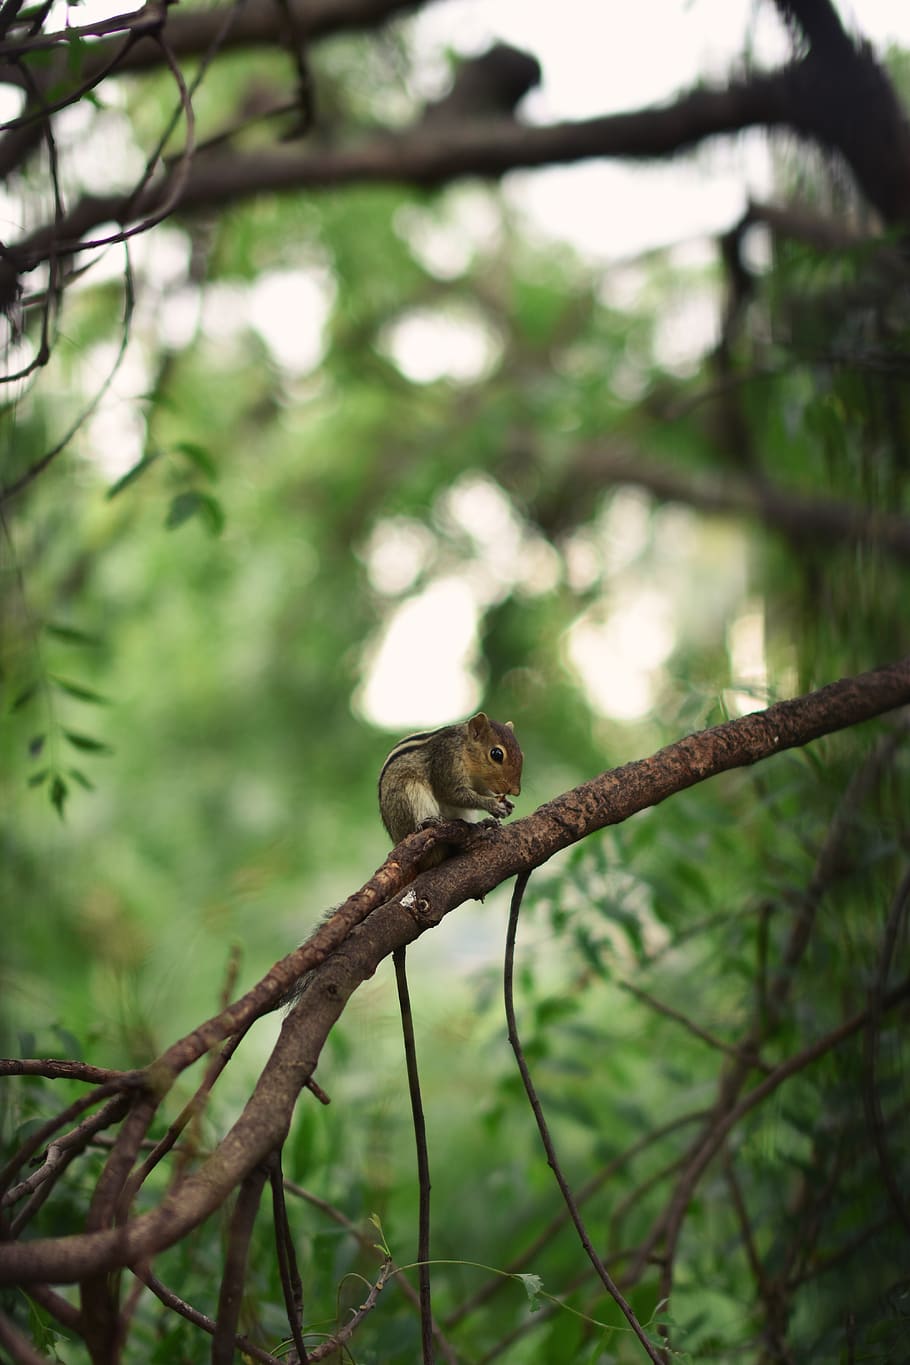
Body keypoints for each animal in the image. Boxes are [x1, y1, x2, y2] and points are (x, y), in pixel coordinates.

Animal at [378, 712, 523, 867]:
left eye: (521, 753)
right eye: (496, 754)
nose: (515, 791)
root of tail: (396, 839)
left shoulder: (478, 783)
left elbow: (480, 792)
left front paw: (507, 803)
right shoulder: (445, 762)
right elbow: (451, 794)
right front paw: (493, 805)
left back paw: (484, 823)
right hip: (409, 795)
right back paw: (426, 823)